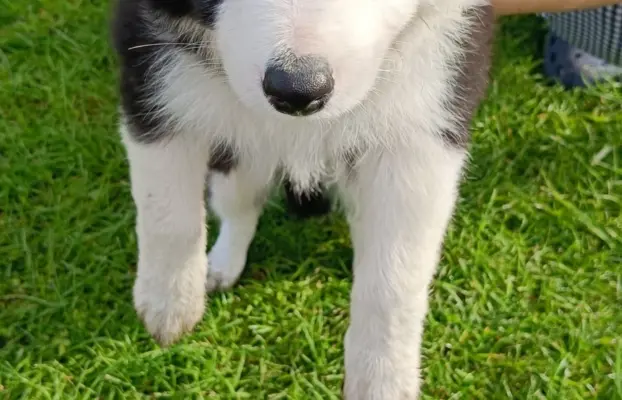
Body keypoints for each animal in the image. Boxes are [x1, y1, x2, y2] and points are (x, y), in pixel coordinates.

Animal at [111, 0, 492, 396]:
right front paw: (169, 303)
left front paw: (383, 377)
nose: (297, 90)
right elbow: (167, 214)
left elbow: (396, 275)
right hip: (239, 163)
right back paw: (219, 267)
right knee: (240, 206)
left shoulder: (431, 111)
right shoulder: (151, 73)